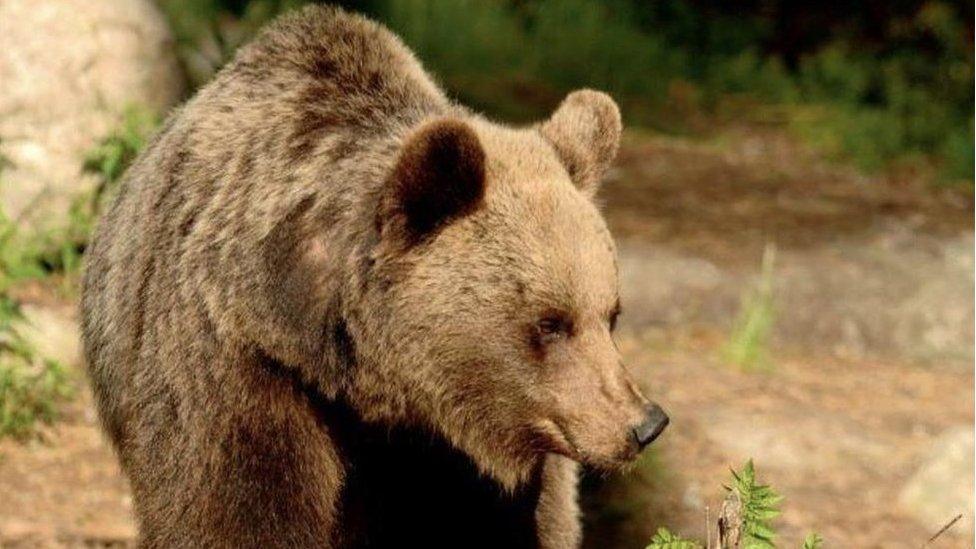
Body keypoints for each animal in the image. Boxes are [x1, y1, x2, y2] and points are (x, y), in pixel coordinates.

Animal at [80, 5, 668, 548]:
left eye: (611, 314)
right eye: (550, 322)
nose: (644, 424)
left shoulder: (460, 459)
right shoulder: (237, 367)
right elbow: (234, 514)